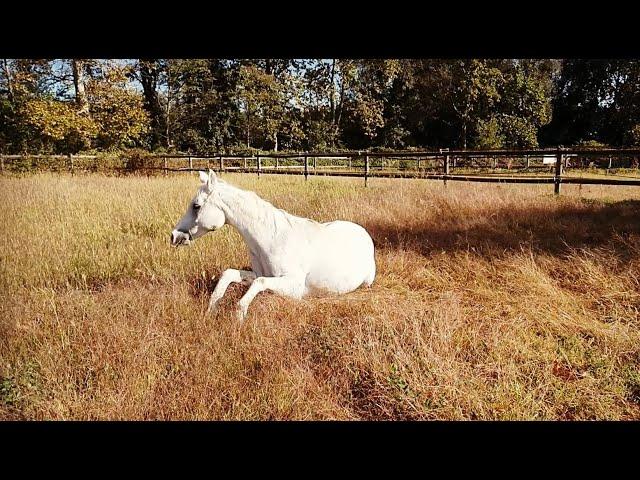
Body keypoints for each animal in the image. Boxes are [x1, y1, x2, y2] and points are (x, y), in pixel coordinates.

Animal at [170, 170, 376, 322]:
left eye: (196, 206)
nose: (174, 236)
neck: (272, 239)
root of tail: (363, 232)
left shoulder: (294, 287)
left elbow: (257, 285)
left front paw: (239, 319)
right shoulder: (260, 274)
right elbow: (229, 274)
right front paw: (211, 310)